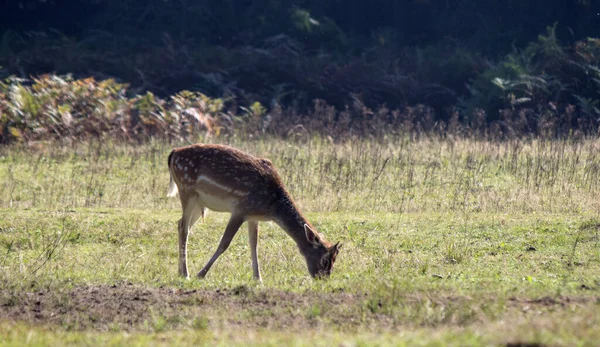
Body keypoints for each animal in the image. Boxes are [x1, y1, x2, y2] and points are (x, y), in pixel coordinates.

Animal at [166, 143, 340, 282]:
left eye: (335, 260)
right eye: (325, 260)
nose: (323, 279)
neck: (271, 207)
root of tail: (173, 153)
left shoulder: (253, 216)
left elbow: (254, 244)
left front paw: (258, 278)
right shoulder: (240, 209)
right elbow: (224, 243)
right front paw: (201, 274)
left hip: (199, 202)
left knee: (182, 225)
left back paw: (180, 271)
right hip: (186, 189)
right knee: (183, 226)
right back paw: (186, 273)